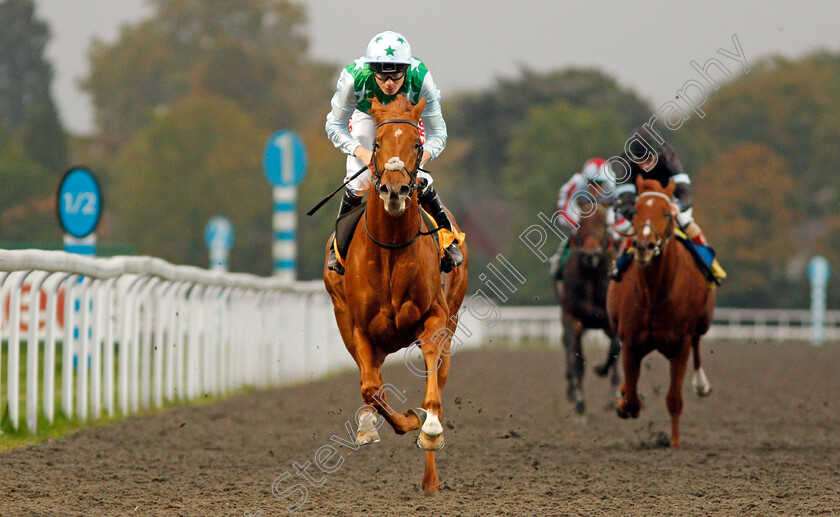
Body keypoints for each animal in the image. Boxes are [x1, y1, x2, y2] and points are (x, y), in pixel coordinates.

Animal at [324, 94, 466, 494]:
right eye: (375, 144)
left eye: (417, 144)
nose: (394, 189)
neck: (389, 247)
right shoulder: (360, 327)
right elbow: (371, 388)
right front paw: (394, 422)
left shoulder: (434, 317)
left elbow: (431, 382)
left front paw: (428, 427)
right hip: (347, 323)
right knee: (370, 381)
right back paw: (370, 423)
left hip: (452, 315)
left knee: (440, 377)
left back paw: (430, 477)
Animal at [556, 200, 620, 414]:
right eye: (580, 223)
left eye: (605, 224)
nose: (590, 255)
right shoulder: (573, 317)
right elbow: (575, 356)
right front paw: (578, 397)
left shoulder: (611, 320)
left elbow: (615, 348)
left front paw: (601, 370)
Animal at [608, 175, 712, 446]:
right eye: (635, 211)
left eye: (666, 212)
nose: (644, 246)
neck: (655, 295)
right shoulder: (630, 341)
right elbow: (632, 398)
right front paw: (623, 403)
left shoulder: (680, 344)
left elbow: (674, 398)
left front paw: (674, 442)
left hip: (703, 322)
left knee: (698, 342)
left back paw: (701, 384)